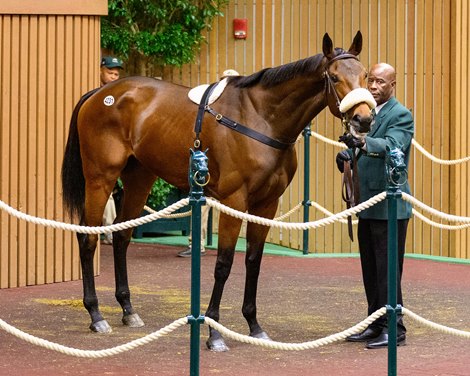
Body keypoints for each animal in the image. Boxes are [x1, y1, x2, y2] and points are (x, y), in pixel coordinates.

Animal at [60, 30, 372, 352]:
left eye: (365, 74)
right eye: (334, 77)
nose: (364, 119)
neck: (261, 118)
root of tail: (100, 93)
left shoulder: (267, 204)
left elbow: (253, 261)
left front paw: (254, 325)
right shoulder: (234, 201)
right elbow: (224, 263)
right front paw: (214, 331)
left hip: (139, 178)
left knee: (122, 236)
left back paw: (127, 309)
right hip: (100, 178)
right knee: (87, 237)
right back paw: (96, 314)